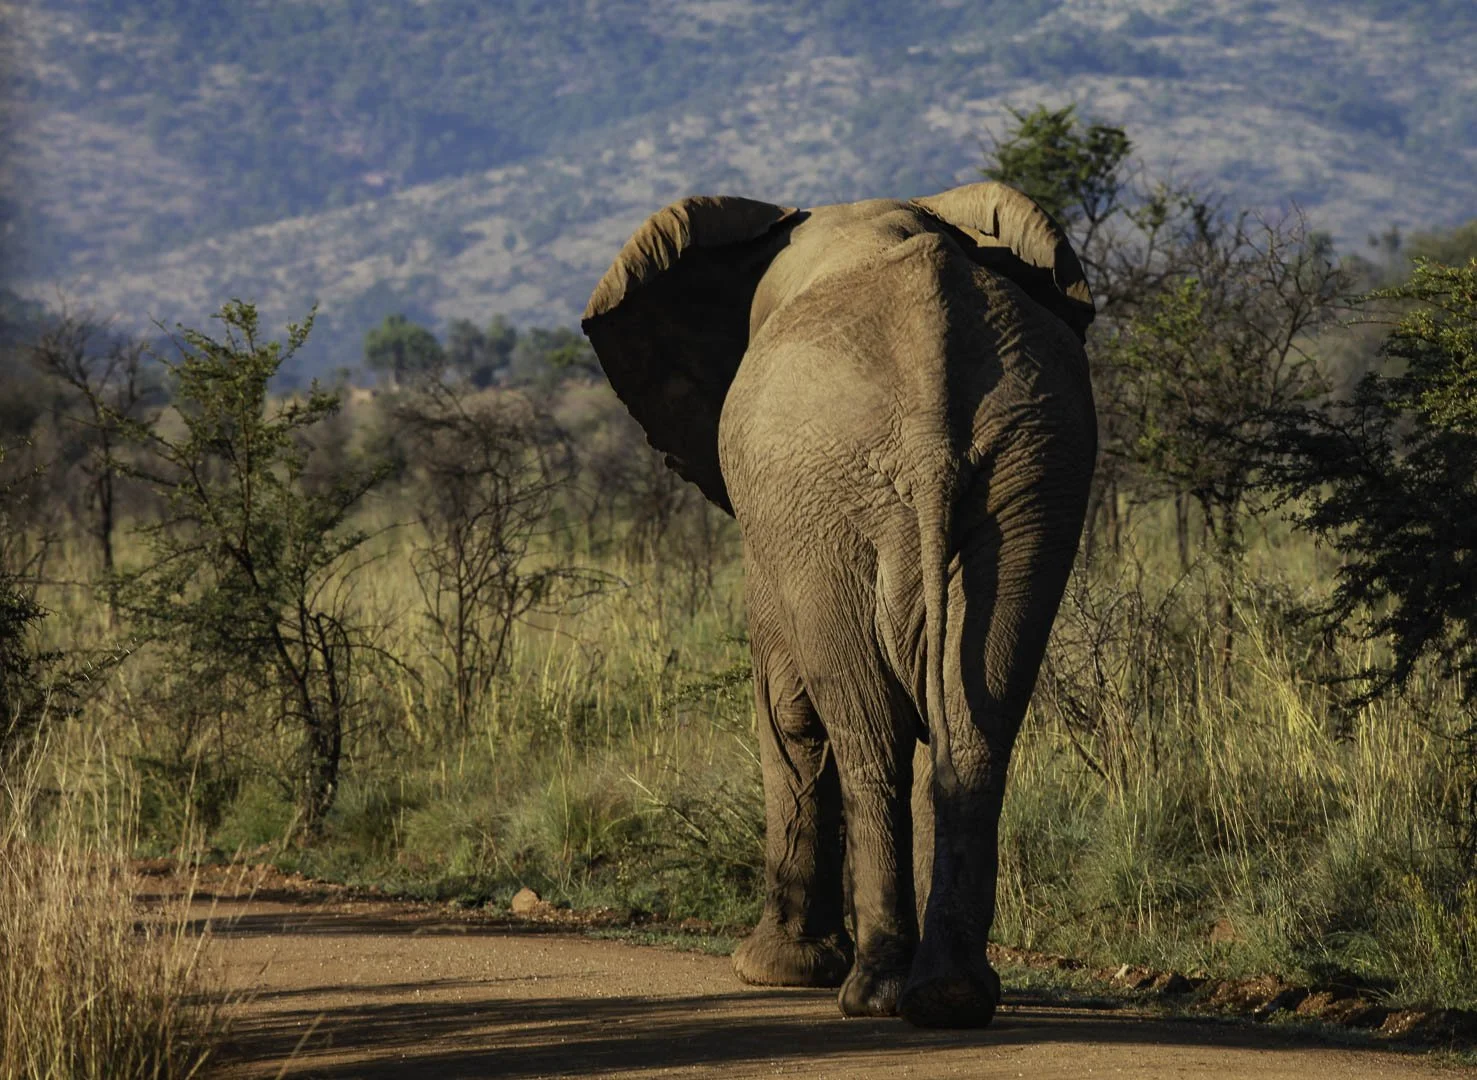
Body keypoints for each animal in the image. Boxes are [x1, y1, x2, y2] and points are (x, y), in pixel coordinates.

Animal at [581, 182, 1096, 1028]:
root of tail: (929, 378)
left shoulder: (773, 532)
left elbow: (785, 704)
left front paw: (774, 974)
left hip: (825, 504)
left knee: (865, 732)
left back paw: (875, 993)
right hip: (1032, 472)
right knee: (974, 726)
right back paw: (950, 997)